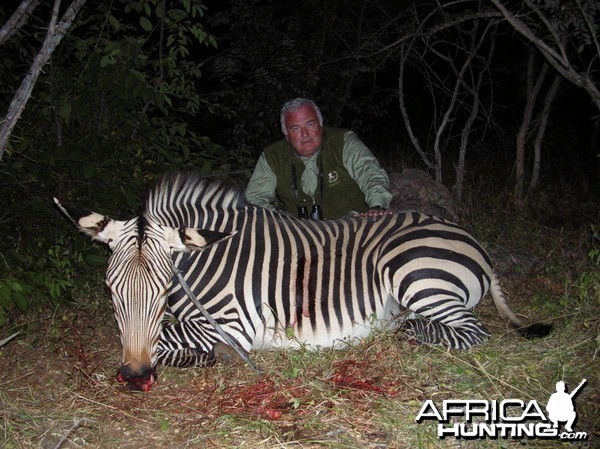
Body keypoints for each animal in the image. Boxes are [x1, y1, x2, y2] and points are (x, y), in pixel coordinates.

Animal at [54, 172, 552, 388]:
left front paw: (205, 358)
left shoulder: (235, 325)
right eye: (111, 292)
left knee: (472, 331)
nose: (136, 377)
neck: (205, 260)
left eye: (161, 290)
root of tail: (469, 237)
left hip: (411, 270)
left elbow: (167, 340)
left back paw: (407, 330)